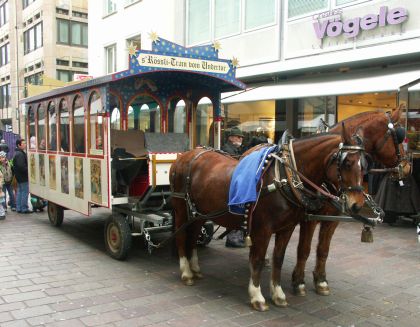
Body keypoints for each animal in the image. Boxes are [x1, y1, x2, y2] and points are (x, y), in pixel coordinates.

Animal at [171, 129, 368, 312]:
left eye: (364, 165)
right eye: (347, 163)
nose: (357, 204)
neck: (284, 177)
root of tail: (185, 156)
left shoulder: (287, 228)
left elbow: (278, 259)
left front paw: (278, 294)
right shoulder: (263, 230)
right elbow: (258, 260)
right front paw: (257, 296)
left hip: (198, 213)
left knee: (193, 237)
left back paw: (195, 268)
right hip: (181, 208)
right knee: (181, 237)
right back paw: (186, 272)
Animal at [292, 105, 410, 298]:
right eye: (399, 136)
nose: (408, 167)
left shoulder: (332, 219)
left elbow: (323, 249)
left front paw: (321, 280)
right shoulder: (309, 218)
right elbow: (304, 249)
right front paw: (299, 282)